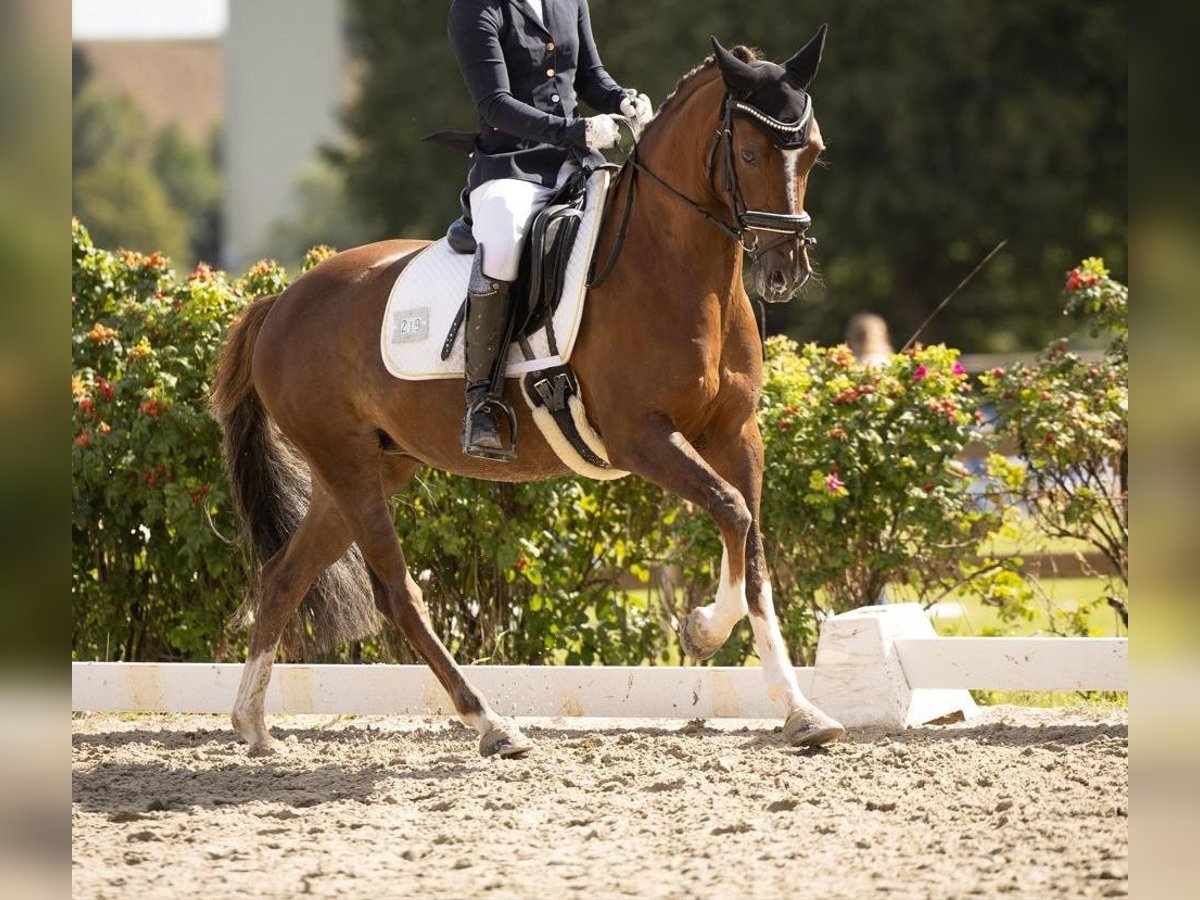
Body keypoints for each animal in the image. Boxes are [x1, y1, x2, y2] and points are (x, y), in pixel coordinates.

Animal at [211, 30, 844, 763]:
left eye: (814, 151)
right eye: (746, 152)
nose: (783, 272)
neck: (677, 270)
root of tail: (282, 301)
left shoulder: (737, 434)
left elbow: (756, 555)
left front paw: (801, 711)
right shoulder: (642, 437)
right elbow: (734, 515)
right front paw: (702, 628)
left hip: (369, 465)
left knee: (285, 575)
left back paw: (253, 724)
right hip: (347, 464)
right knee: (398, 593)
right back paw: (492, 723)